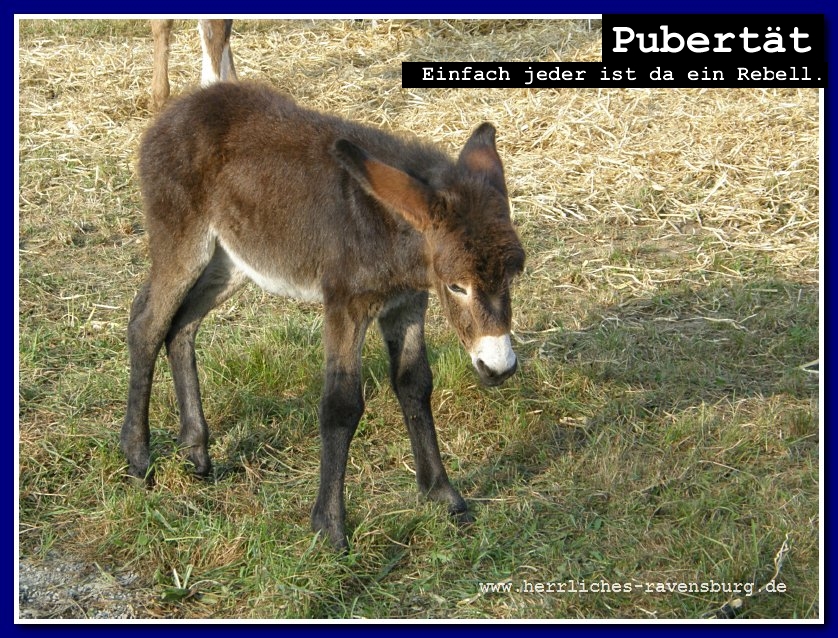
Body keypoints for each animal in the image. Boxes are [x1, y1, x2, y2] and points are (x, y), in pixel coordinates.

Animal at [124, 81, 524, 552]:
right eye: (457, 287)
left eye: (512, 276)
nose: (499, 368)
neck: (388, 231)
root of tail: (184, 105)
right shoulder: (345, 306)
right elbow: (341, 404)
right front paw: (329, 528)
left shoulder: (406, 304)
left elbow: (415, 384)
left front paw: (443, 496)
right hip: (182, 240)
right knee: (147, 324)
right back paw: (138, 459)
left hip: (232, 262)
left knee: (181, 325)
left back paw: (197, 450)